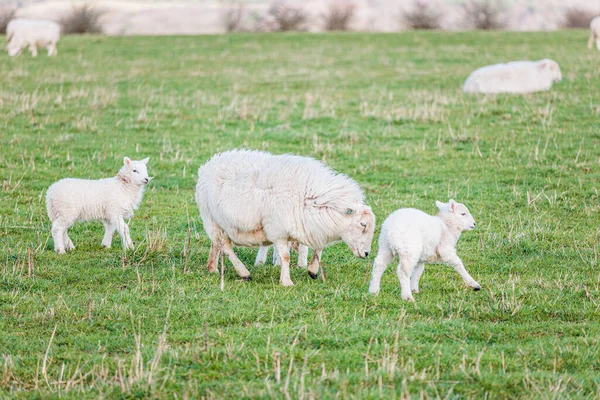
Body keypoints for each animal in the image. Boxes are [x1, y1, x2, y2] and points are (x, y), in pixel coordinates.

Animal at [196, 148, 376, 286]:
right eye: (363, 225)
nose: (367, 253)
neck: (309, 199)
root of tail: (208, 165)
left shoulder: (310, 227)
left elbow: (318, 248)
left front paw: (312, 271)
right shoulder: (278, 231)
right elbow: (286, 256)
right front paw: (287, 281)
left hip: (218, 223)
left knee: (216, 244)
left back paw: (213, 268)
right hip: (211, 220)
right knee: (226, 246)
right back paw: (244, 273)